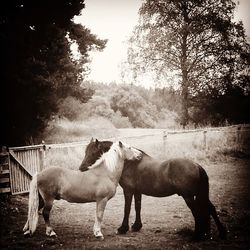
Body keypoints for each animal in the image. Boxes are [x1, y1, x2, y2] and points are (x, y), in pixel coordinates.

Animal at [79, 139, 227, 240]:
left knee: (198, 213)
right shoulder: (137, 192)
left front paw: (123, 228)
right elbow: (137, 207)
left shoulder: (129, 191)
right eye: (85, 151)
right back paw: (219, 232)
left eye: (93, 152)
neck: (129, 162)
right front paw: (136, 226)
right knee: (210, 209)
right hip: (200, 195)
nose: (81, 168)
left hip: (189, 197)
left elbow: (127, 209)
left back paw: (197, 235)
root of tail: (196, 165)